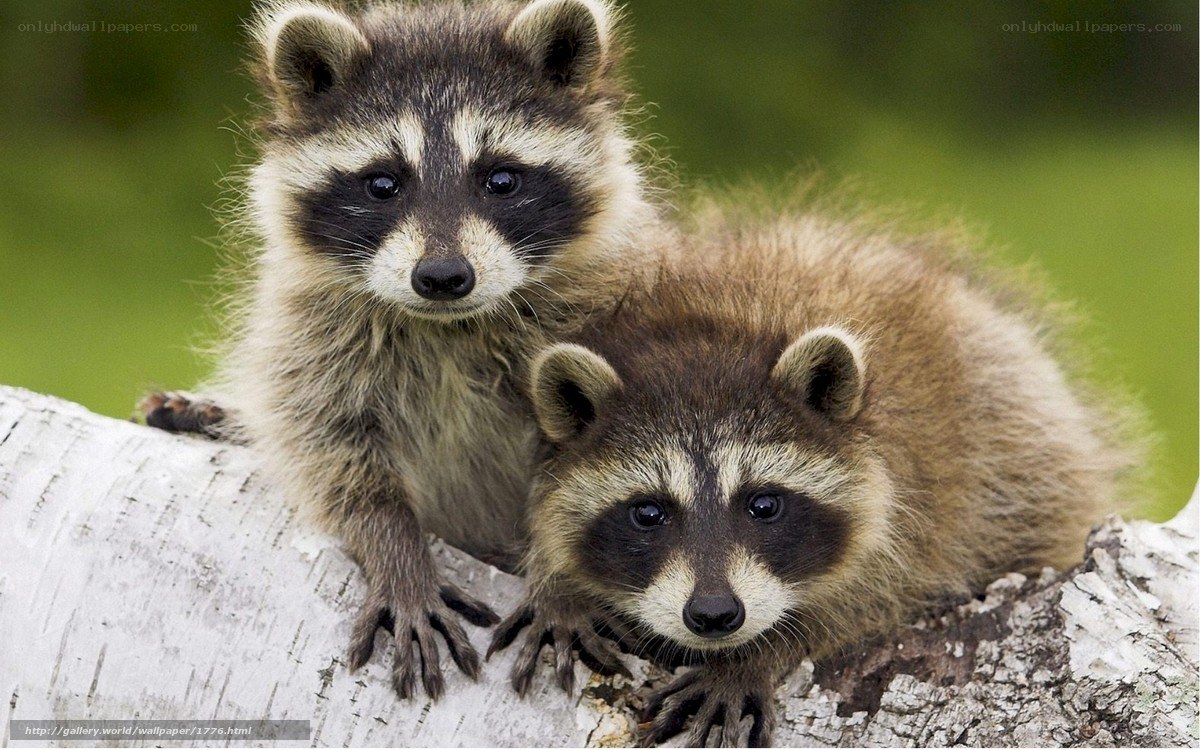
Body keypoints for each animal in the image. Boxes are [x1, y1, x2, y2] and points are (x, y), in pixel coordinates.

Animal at [140, 0, 666, 701]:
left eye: (501, 178)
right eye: (382, 184)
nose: (442, 276)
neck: (447, 325)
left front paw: (561, 583)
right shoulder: (312, 335)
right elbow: (331, 450)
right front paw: (396, 549)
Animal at [490, 213, 1134, 746]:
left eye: (763, 505)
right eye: (648, 512)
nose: (715, 615)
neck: (711, 329)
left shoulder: (921, 493)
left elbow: (874, 593)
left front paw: (760, 653)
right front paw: (560, 586)